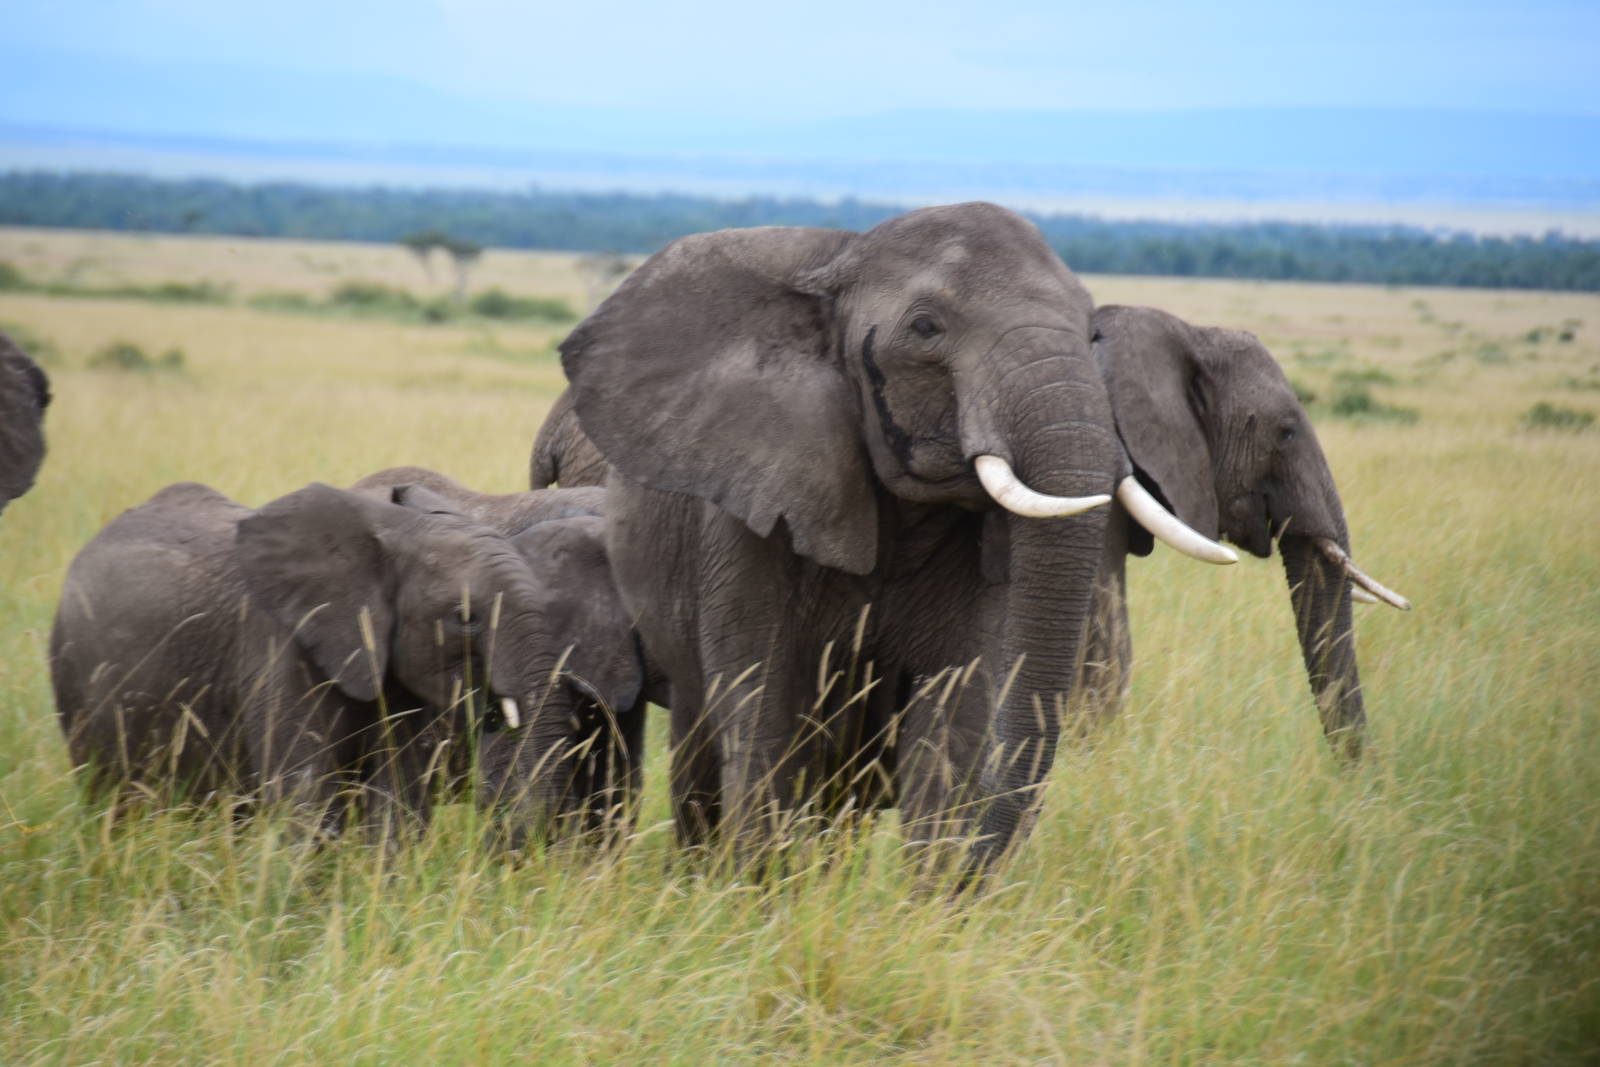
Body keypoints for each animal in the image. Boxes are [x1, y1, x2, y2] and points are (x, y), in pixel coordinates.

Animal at [51, 478, 648, 846]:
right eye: (465, 617)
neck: (392, 533)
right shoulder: (280, 643)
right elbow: (305, 793)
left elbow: (398, 800)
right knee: (111, 801)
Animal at [556, 202, 1226, 875]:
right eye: (926, 328)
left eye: (1092, 337)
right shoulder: (746, 511)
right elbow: (765, 697)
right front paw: (760, 891)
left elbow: (957, 705)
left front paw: (932, 896)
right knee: (704, 743)